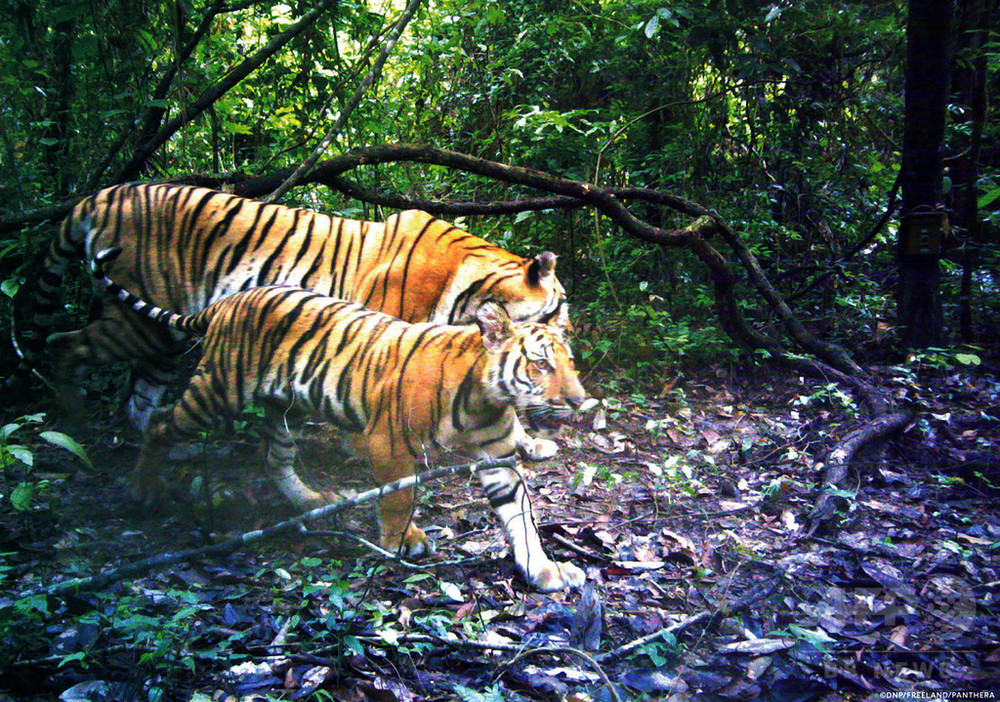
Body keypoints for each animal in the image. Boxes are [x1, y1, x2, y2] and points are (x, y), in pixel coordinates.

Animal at [9, 182, 572, 432]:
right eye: (560, 308)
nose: (572, 337)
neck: (474, 284)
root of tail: (103, 193)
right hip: (140, 322)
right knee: (62, 347)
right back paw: (77, 428)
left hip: (162, 335)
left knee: (141, 397)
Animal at [91, 248, 588, 592]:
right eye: (541, 364)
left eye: (569, 363)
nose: (580, 400)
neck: (485, 398)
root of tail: (228, 302)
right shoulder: (388, 441)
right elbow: (400, 496)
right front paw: (402, 541)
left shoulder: (497, 458)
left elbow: (522, 519)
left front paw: (545, 570)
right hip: (218, 389)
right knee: (160, 421)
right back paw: (143, 489)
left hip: (284, 407)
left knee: (276, 458)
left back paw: (310, 500)